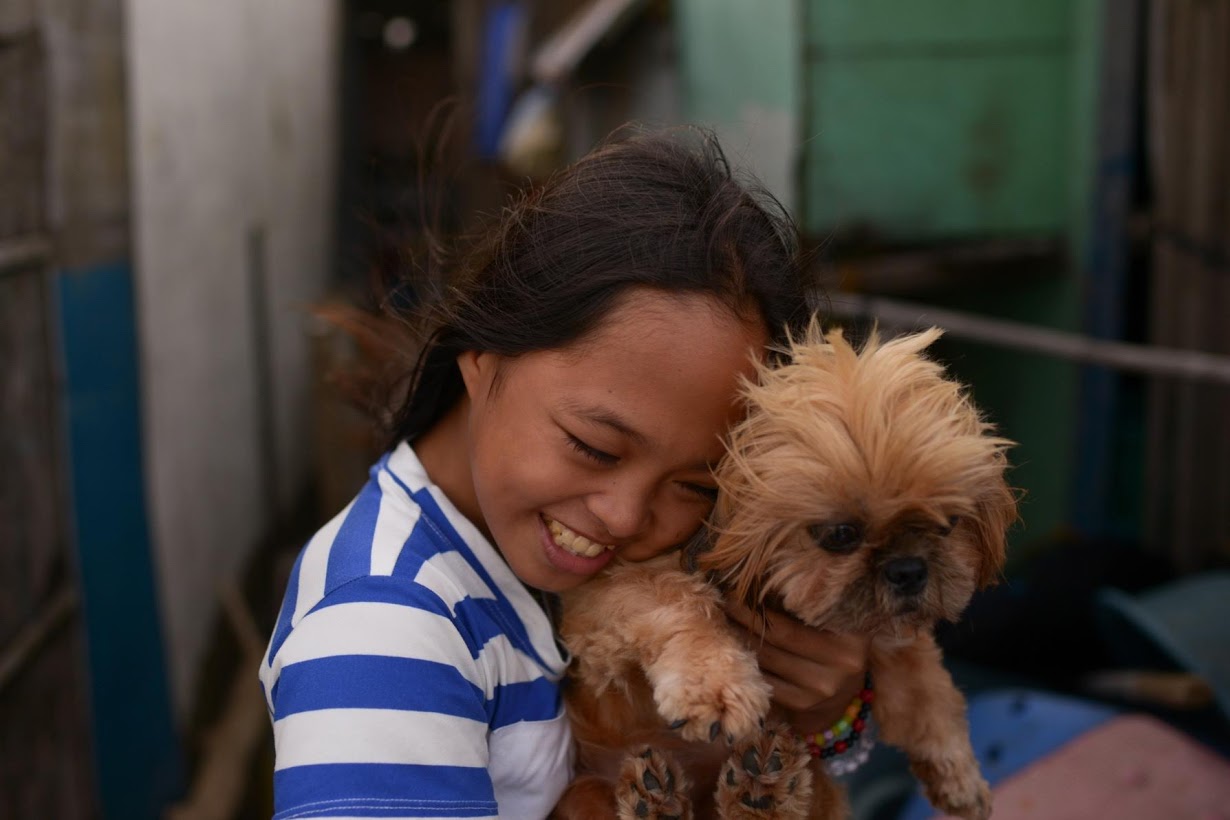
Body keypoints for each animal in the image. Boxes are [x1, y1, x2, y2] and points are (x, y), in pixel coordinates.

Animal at [553, 327, 1013, 820]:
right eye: (840, 535)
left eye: (949, 524)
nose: (908, 569)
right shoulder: (606, 596)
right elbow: (679, 604)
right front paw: (717, 685)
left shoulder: (892, 639)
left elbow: (931, 695)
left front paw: (961, 777)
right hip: (585, 796)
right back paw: (658, 799)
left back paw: (757, 789)